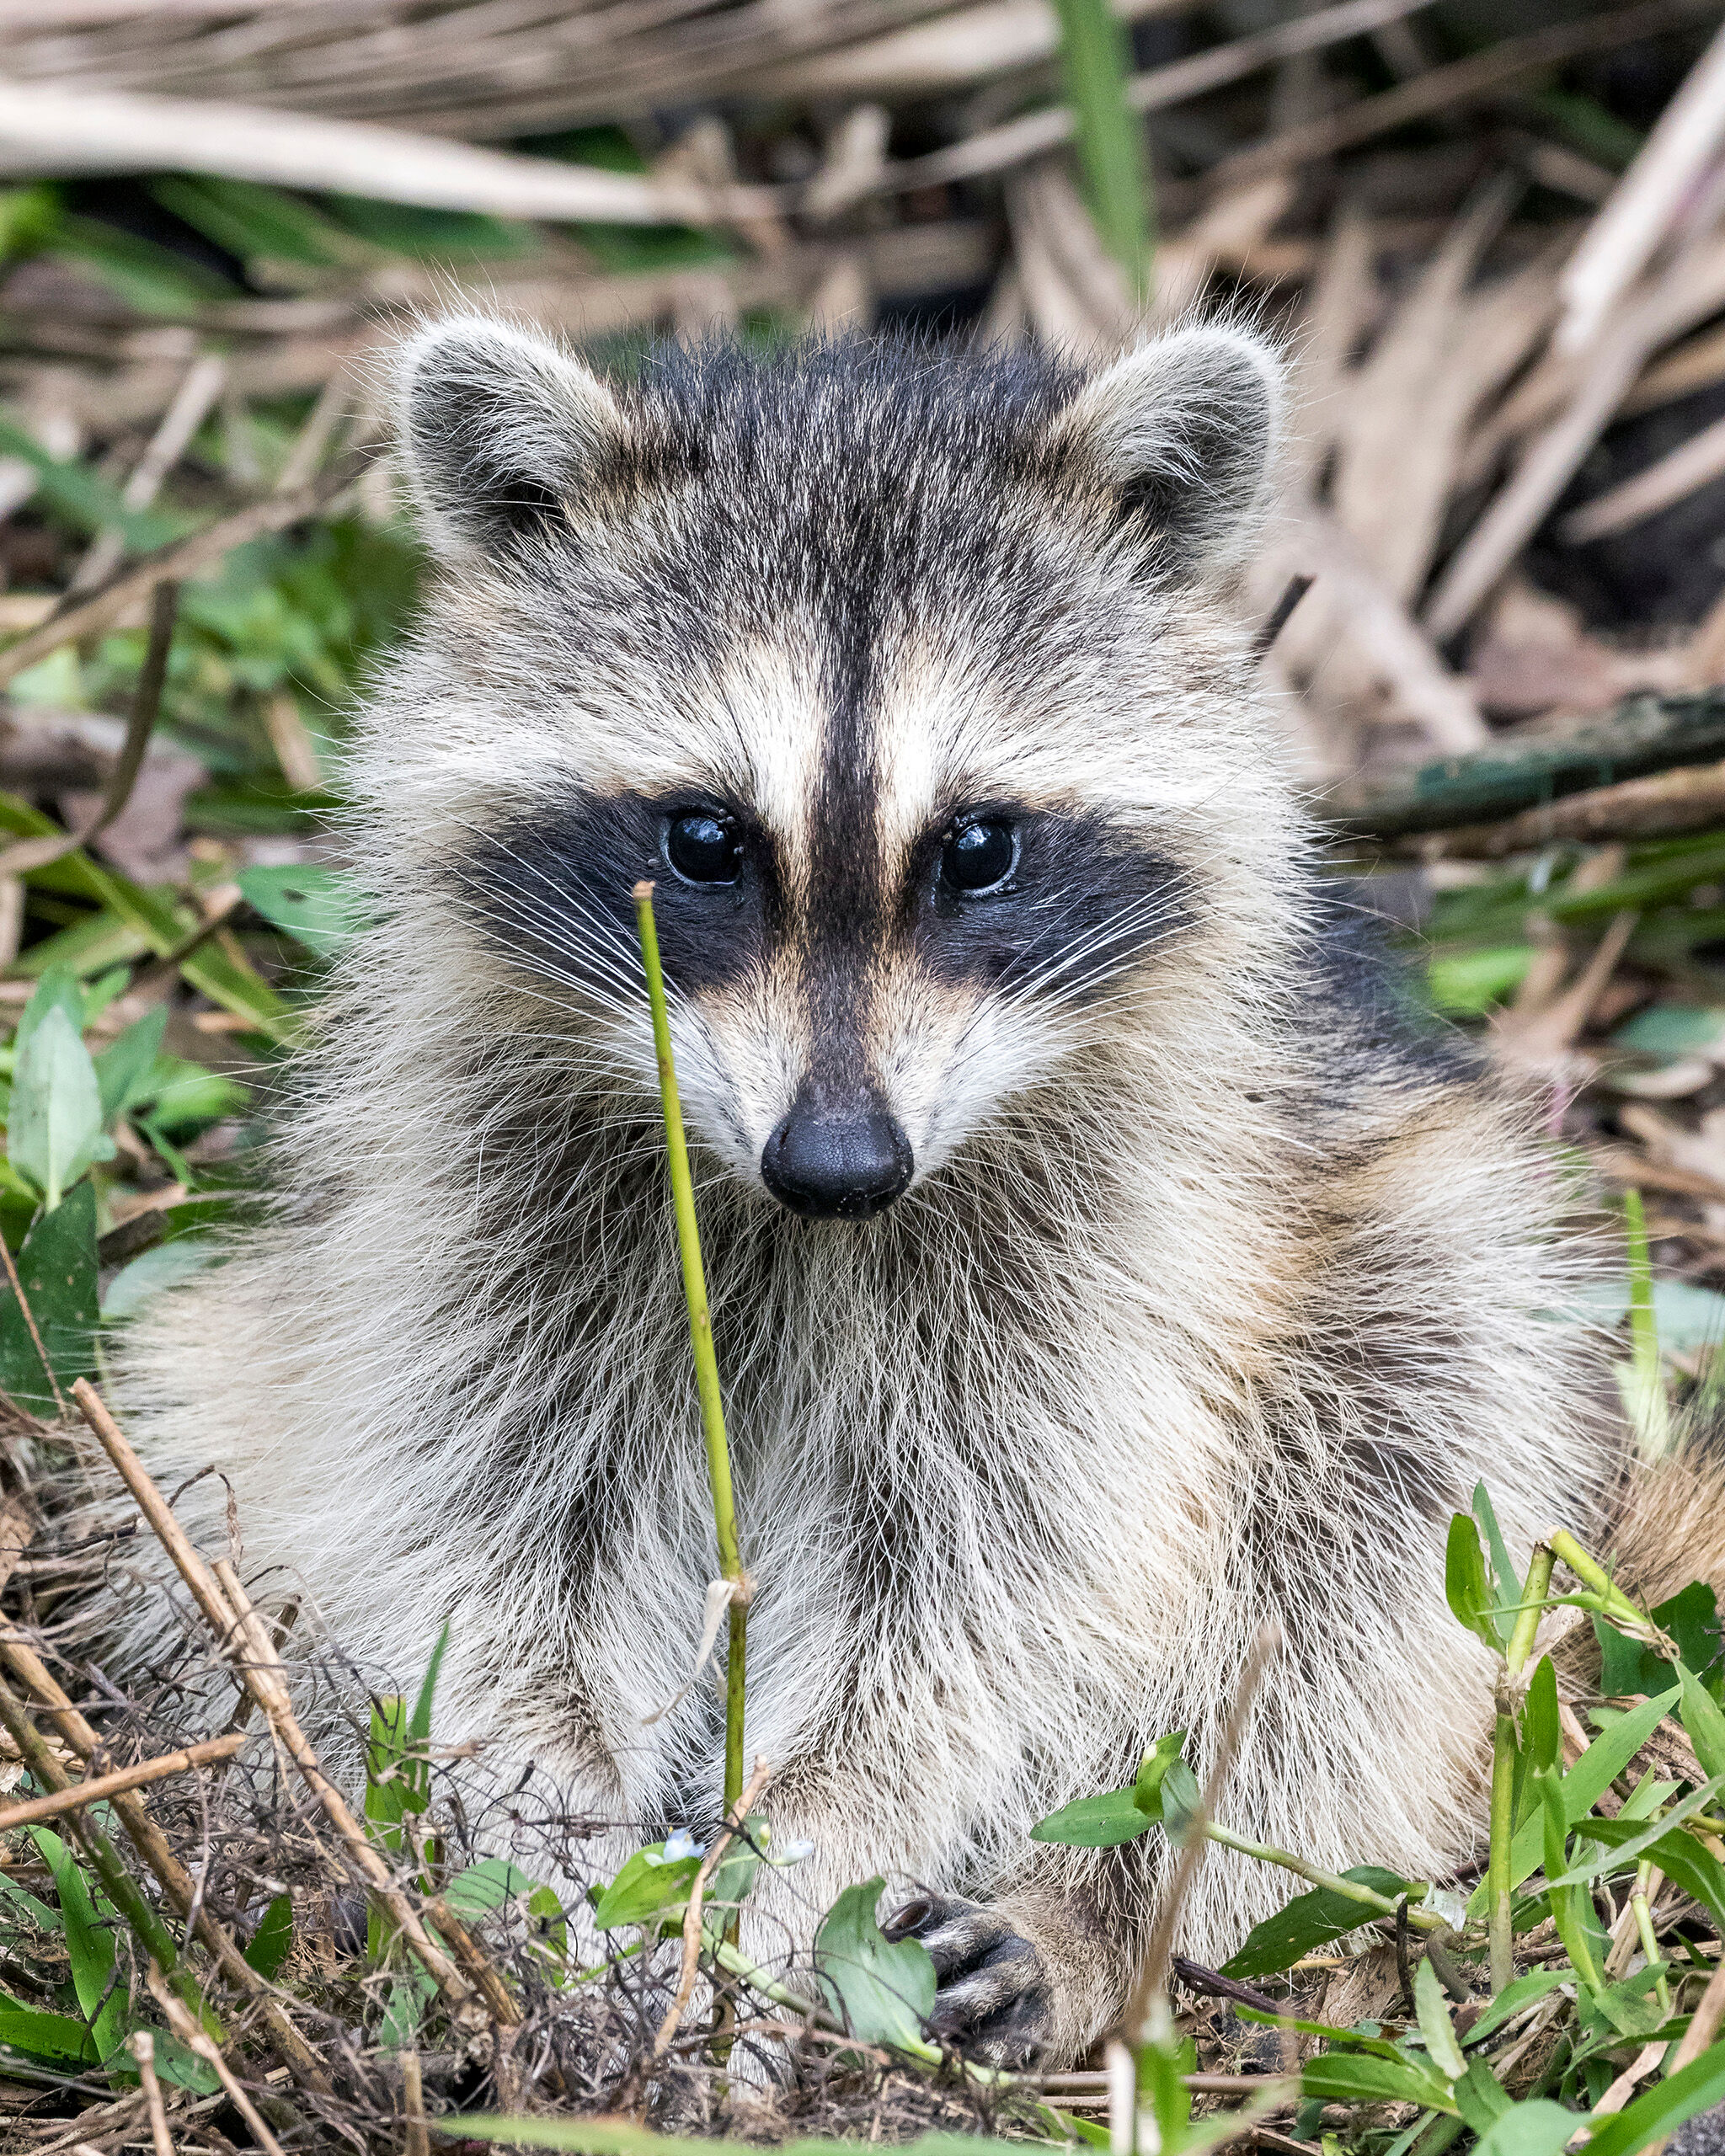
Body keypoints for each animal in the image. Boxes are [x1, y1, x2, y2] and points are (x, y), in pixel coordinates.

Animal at [108, 320, 1708, 2069]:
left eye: (980, 846)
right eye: (703, 839)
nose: (839, 1165)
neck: (797, 1221)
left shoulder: (1108, 1255)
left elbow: (981, 1602)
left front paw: (797, 1874)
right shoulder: (489, 1202)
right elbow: (486, 1535)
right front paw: (549, 1861)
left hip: (1402, 1247)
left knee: (1372, 1514)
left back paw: (1098, 1920)